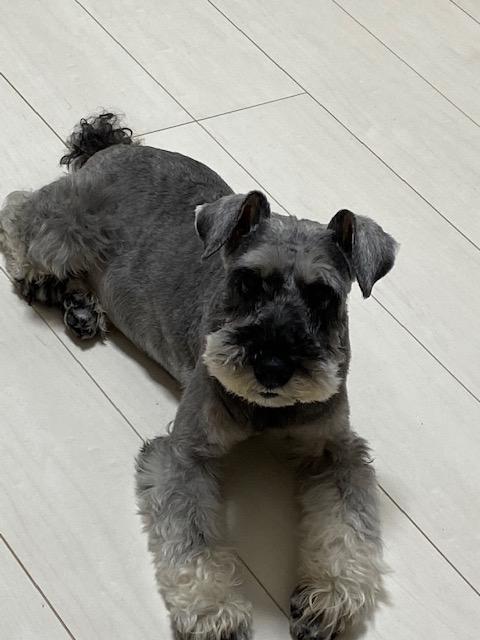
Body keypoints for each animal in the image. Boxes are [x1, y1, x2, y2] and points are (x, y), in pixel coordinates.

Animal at [0, 113, 397, 640]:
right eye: (247, 281)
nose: (272, 367)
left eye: (323, 296)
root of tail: (107, 149)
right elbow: (192, 537)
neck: (266, 413)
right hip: (65, 229)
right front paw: (214, 613)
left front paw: (330, 599)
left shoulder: (336, 450)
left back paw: (81, 306)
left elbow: (347, 524)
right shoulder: (184, 454)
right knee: (18, 212)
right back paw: (42, 280)